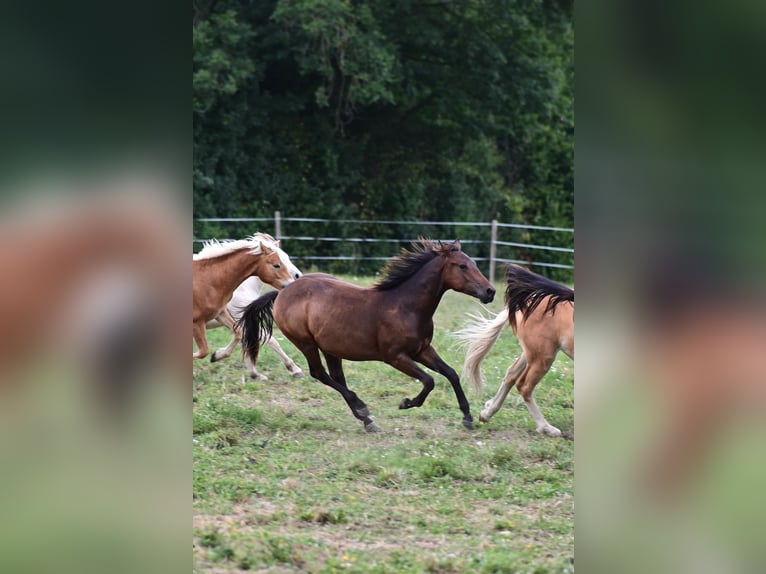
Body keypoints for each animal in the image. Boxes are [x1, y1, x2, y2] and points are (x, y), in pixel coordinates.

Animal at [192, 233, 301, 363]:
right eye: (276, 265)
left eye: (286, 257)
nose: (296, 277)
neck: (208, 279)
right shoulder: (197, 322)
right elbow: (203, 351)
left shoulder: (221, 313)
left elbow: (238, 334)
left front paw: (217, 355)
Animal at [236, 239, 496, 432]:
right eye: (462, 266)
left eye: (473, 263)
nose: (490, 291)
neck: (406, 307)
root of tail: (282, 293)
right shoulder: (395, 357)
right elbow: (429, 380)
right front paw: (406, 403)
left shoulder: (422, 350)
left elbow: (451, 373)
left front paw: (468, 417)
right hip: (306, 342)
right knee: (319, 373)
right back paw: (363, 409)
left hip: (330, 346)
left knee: (336, 376)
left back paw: (365, 418)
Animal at [456, 264, 574, 436]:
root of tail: (526, 301)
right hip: (543, 357)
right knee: (524, 386)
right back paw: (546, 428)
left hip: (533, 353)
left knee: (511, 374)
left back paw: (487, 413)